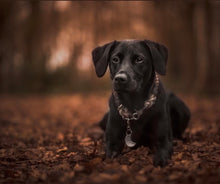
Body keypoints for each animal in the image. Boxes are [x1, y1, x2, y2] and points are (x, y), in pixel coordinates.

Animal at [91, 39, 191, 167]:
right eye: (115, 59)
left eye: (139, 59)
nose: (120, 78)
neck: (133, 102)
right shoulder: (112, 141)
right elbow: (110, 154)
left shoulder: (164, 139)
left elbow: (162, 151)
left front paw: (160, 161)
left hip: (180, 107)